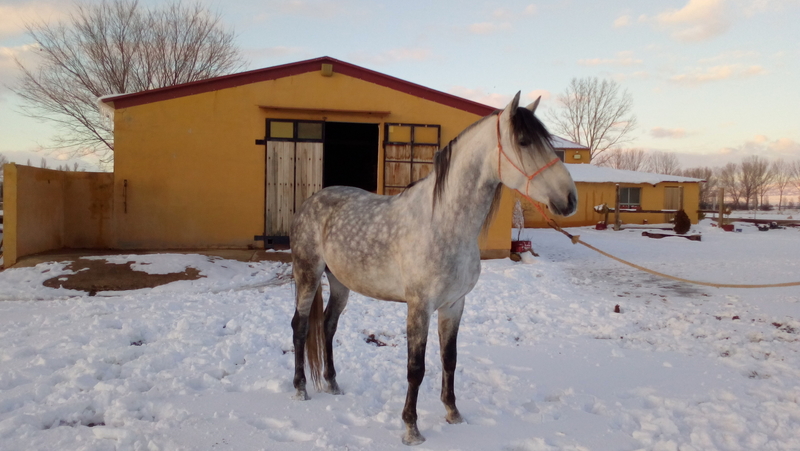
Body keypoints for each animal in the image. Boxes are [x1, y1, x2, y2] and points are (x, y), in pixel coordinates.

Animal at [289, 92, 577, 445]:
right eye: (524, 141)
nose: (570, 198)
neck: (444, 222)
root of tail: (311, 201)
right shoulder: (419, 307)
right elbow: (416, 368)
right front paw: (411, 429)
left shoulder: (454, 305)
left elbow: (449, 359)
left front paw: (453, 414)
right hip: (308, 274)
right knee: (301, 326)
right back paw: (301, 388)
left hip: (340, 282)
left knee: (328, 325)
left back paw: (332, 383)